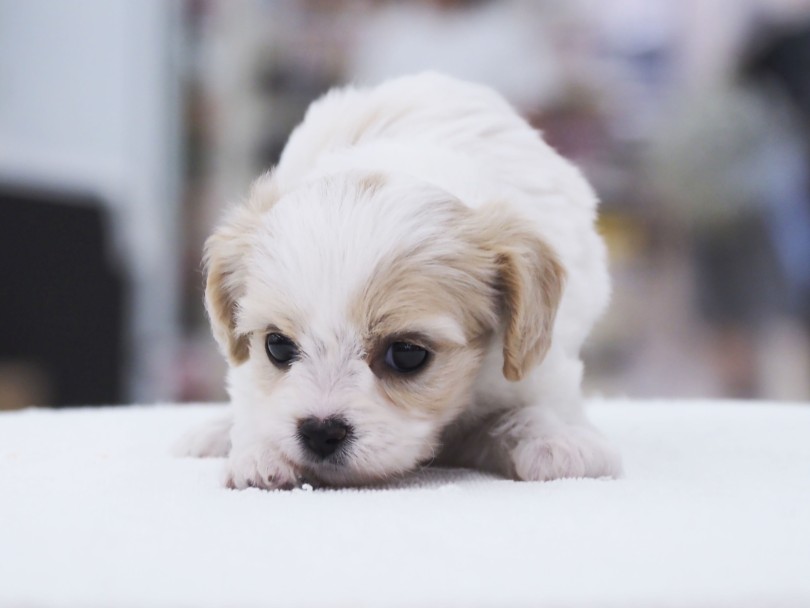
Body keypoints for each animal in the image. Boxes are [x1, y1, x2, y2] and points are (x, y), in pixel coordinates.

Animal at [177, 72, 620, 490]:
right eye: (277, 346)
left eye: (407, 355)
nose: (320, 432)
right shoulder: (251, 371)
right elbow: (253, 401)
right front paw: (259, 453)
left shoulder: (538, 366)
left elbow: (537, 406)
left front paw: (557, 440)